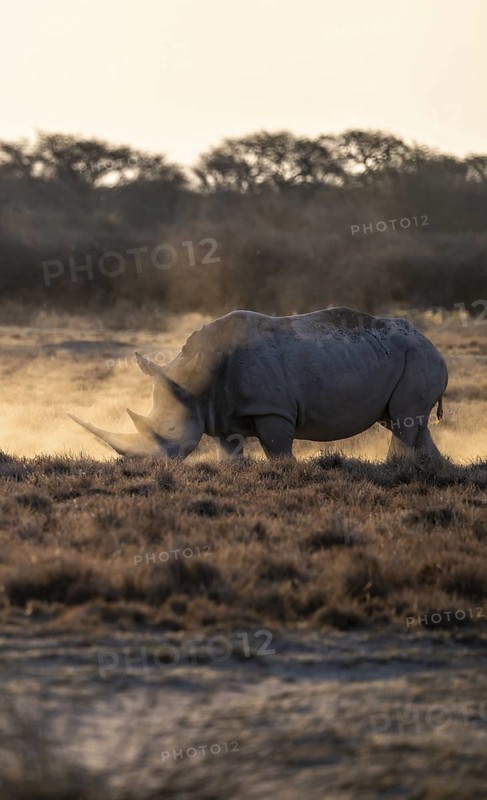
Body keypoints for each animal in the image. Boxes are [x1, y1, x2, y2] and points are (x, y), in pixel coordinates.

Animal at [70, 307, 448, 459]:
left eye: (170, 431)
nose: (145, 466)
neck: (193, 382)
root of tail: (433, 343)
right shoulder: (218, 411)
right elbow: (229, 453)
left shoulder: (272, 409)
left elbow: (277, 449)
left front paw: (286, 472)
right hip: (404, 357)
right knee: (407, 422)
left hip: (418, 357)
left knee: (403, 422)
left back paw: (397, 469)